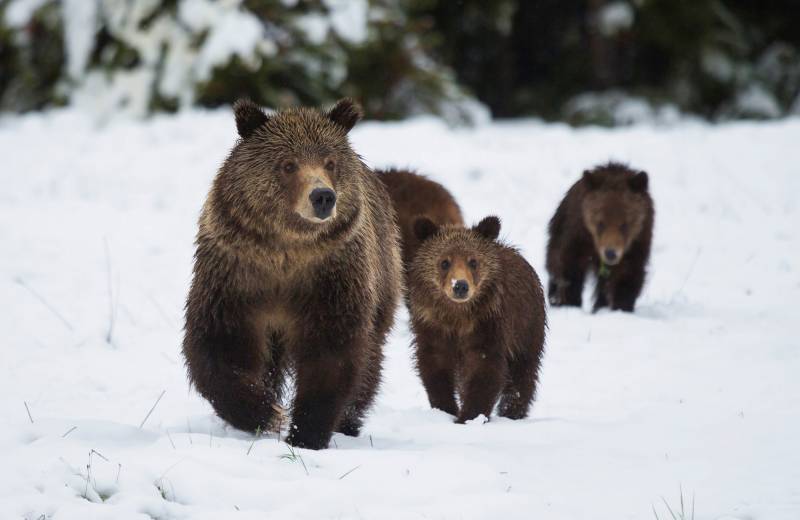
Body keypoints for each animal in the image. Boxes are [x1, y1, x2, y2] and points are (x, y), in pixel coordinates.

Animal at [182, 98, 402, 450]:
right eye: (288, 164)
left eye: (330, 162)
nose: (323, 196)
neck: (286, 252)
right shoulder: (236, 276)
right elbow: (219, 344)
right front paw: (264, 412)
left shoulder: (330, 278)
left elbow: (331, 353)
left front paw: (306, 433)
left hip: (383, 274)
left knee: (370, 358)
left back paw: (349, 421)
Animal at [407, 216, 546, 423]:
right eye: (445, 262)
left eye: (473, 261)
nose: (460, 286)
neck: (457, 316)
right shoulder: (432, 325)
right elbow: (435, 367)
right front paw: (445, 409)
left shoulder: (487, 325)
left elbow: (485, 368)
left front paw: (469, 417)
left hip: (527, 326)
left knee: (523, 371)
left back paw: (512, 411)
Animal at [546, 162, 654, 312]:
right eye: (600, 223)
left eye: (624, 224)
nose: (610, 253)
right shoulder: (577, 234)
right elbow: (569, 267)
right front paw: (569, 301)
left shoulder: (638, 242)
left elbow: (628, 276)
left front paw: (621, 306)